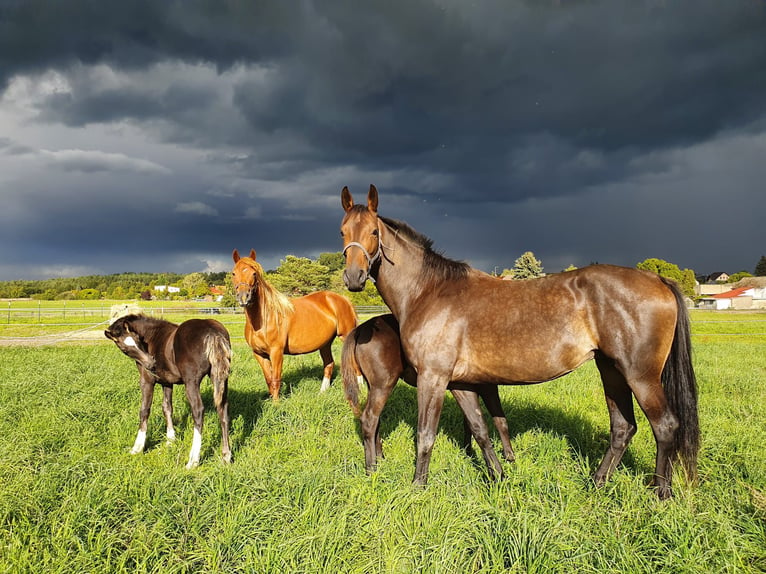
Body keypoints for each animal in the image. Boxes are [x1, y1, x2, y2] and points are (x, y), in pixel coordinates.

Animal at [105, 318, 232, 470]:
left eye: (137, 339)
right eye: (124, 349)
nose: (151, 363)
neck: (152, 336)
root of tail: (212, 331)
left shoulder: (147, 381)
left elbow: (144, 410)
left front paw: (138, 447)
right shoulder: (167, 382)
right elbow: (167, 408)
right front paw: (171, 440)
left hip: (191, 381)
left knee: (198, 411)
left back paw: (193, 460)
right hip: (221, 378)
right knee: (223, 410)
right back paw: (226, 456)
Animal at [232, 250, 358, 402]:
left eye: (254, 273)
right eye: (233, 273)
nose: (243, 297)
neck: (263, 319)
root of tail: (344, 299)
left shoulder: (276, 352)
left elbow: (275, 379)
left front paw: (276, 404)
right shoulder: (259, 354)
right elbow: (268, 379)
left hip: (346, 336)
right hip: (325, 343)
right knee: (329, 364)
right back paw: (322, 392)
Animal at [342, 316, 516, 476]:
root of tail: (361, 329)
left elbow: (470, 421)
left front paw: (468, 451)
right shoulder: (487, 387)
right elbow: (500, 420)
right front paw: (509, 457)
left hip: (374, 386)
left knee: (375, 419)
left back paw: (380, 458)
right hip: (383, 385)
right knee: (369, 419)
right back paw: (372, 469)